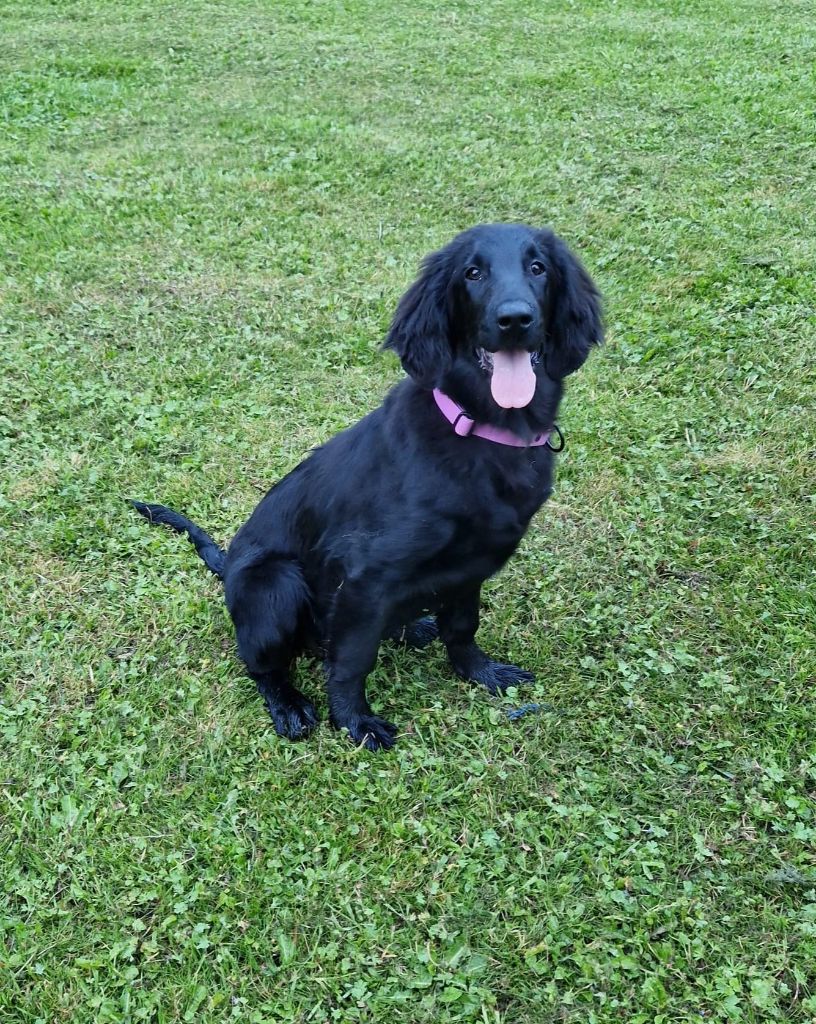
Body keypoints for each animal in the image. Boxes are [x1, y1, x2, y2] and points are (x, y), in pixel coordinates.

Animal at [132, 224, 597, 753]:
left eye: (538, 268)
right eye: (473, 274)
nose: (515, 319)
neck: (483, 431)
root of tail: (228, 565)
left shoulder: (471, 567)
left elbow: (462, 627)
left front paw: (480, 672)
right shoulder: (364, 576)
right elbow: (353, 659)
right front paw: (354, 721)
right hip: (275, 585)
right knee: (261, 664)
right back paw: (288, 704)